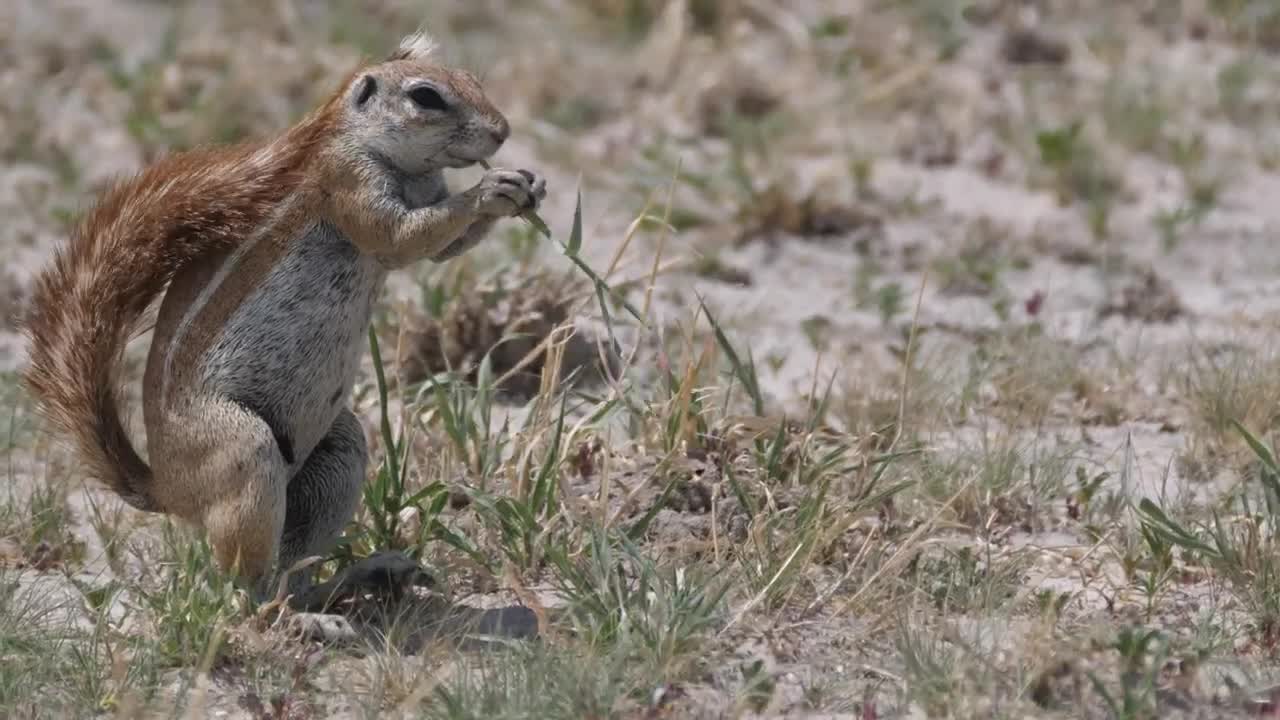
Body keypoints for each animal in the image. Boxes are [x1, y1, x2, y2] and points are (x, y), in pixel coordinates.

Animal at [20, 31, 546, 605]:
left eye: (472, 80)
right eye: (426, 96)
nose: (502, 131)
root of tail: (168, 490)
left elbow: (444, 249)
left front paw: (528, 186)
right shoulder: (350, 185)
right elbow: (403, 238)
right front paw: (489, 191)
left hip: (339, 448)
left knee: (289, 568)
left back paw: (354, 581)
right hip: (243, 448)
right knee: (245, 584)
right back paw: (298, 608)